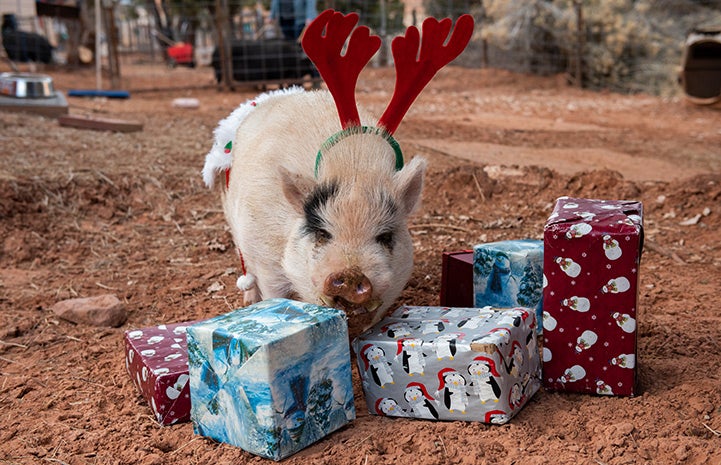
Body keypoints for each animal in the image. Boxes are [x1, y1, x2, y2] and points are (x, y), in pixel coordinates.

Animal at [202, 9, 472, 324]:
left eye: (385, 236)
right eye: (321, 233)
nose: (351, 275)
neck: (353, 167)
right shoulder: (265, 254)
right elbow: (273, 289)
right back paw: (248, 299)